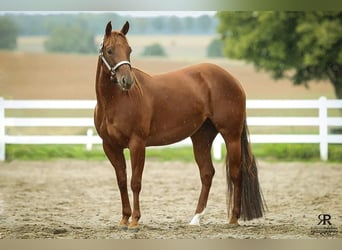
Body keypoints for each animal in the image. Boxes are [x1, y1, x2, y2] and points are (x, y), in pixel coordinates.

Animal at [95, 21, 266, 229]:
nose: (127, 81)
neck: (115, 102)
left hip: (231, 136)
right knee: (207, 173)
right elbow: (121, 181)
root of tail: (232, 80)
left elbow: (135, 182)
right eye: (110, 50)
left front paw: (135, 220)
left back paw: (233, 219)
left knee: (236, 173)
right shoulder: (110, 146)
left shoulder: (137, 144)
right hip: (201, 137)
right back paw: (195, 218)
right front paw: (124, 219)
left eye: (129, 50)